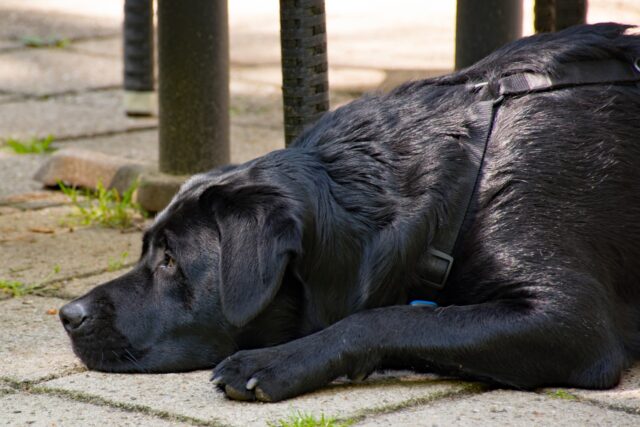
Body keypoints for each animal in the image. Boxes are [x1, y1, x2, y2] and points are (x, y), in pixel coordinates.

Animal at [62, 25, 640, 402]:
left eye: (170, 261)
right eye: (147, 251)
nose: (67, 315)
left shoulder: (570, 321)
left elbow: (390, 317)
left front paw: (279, 361)